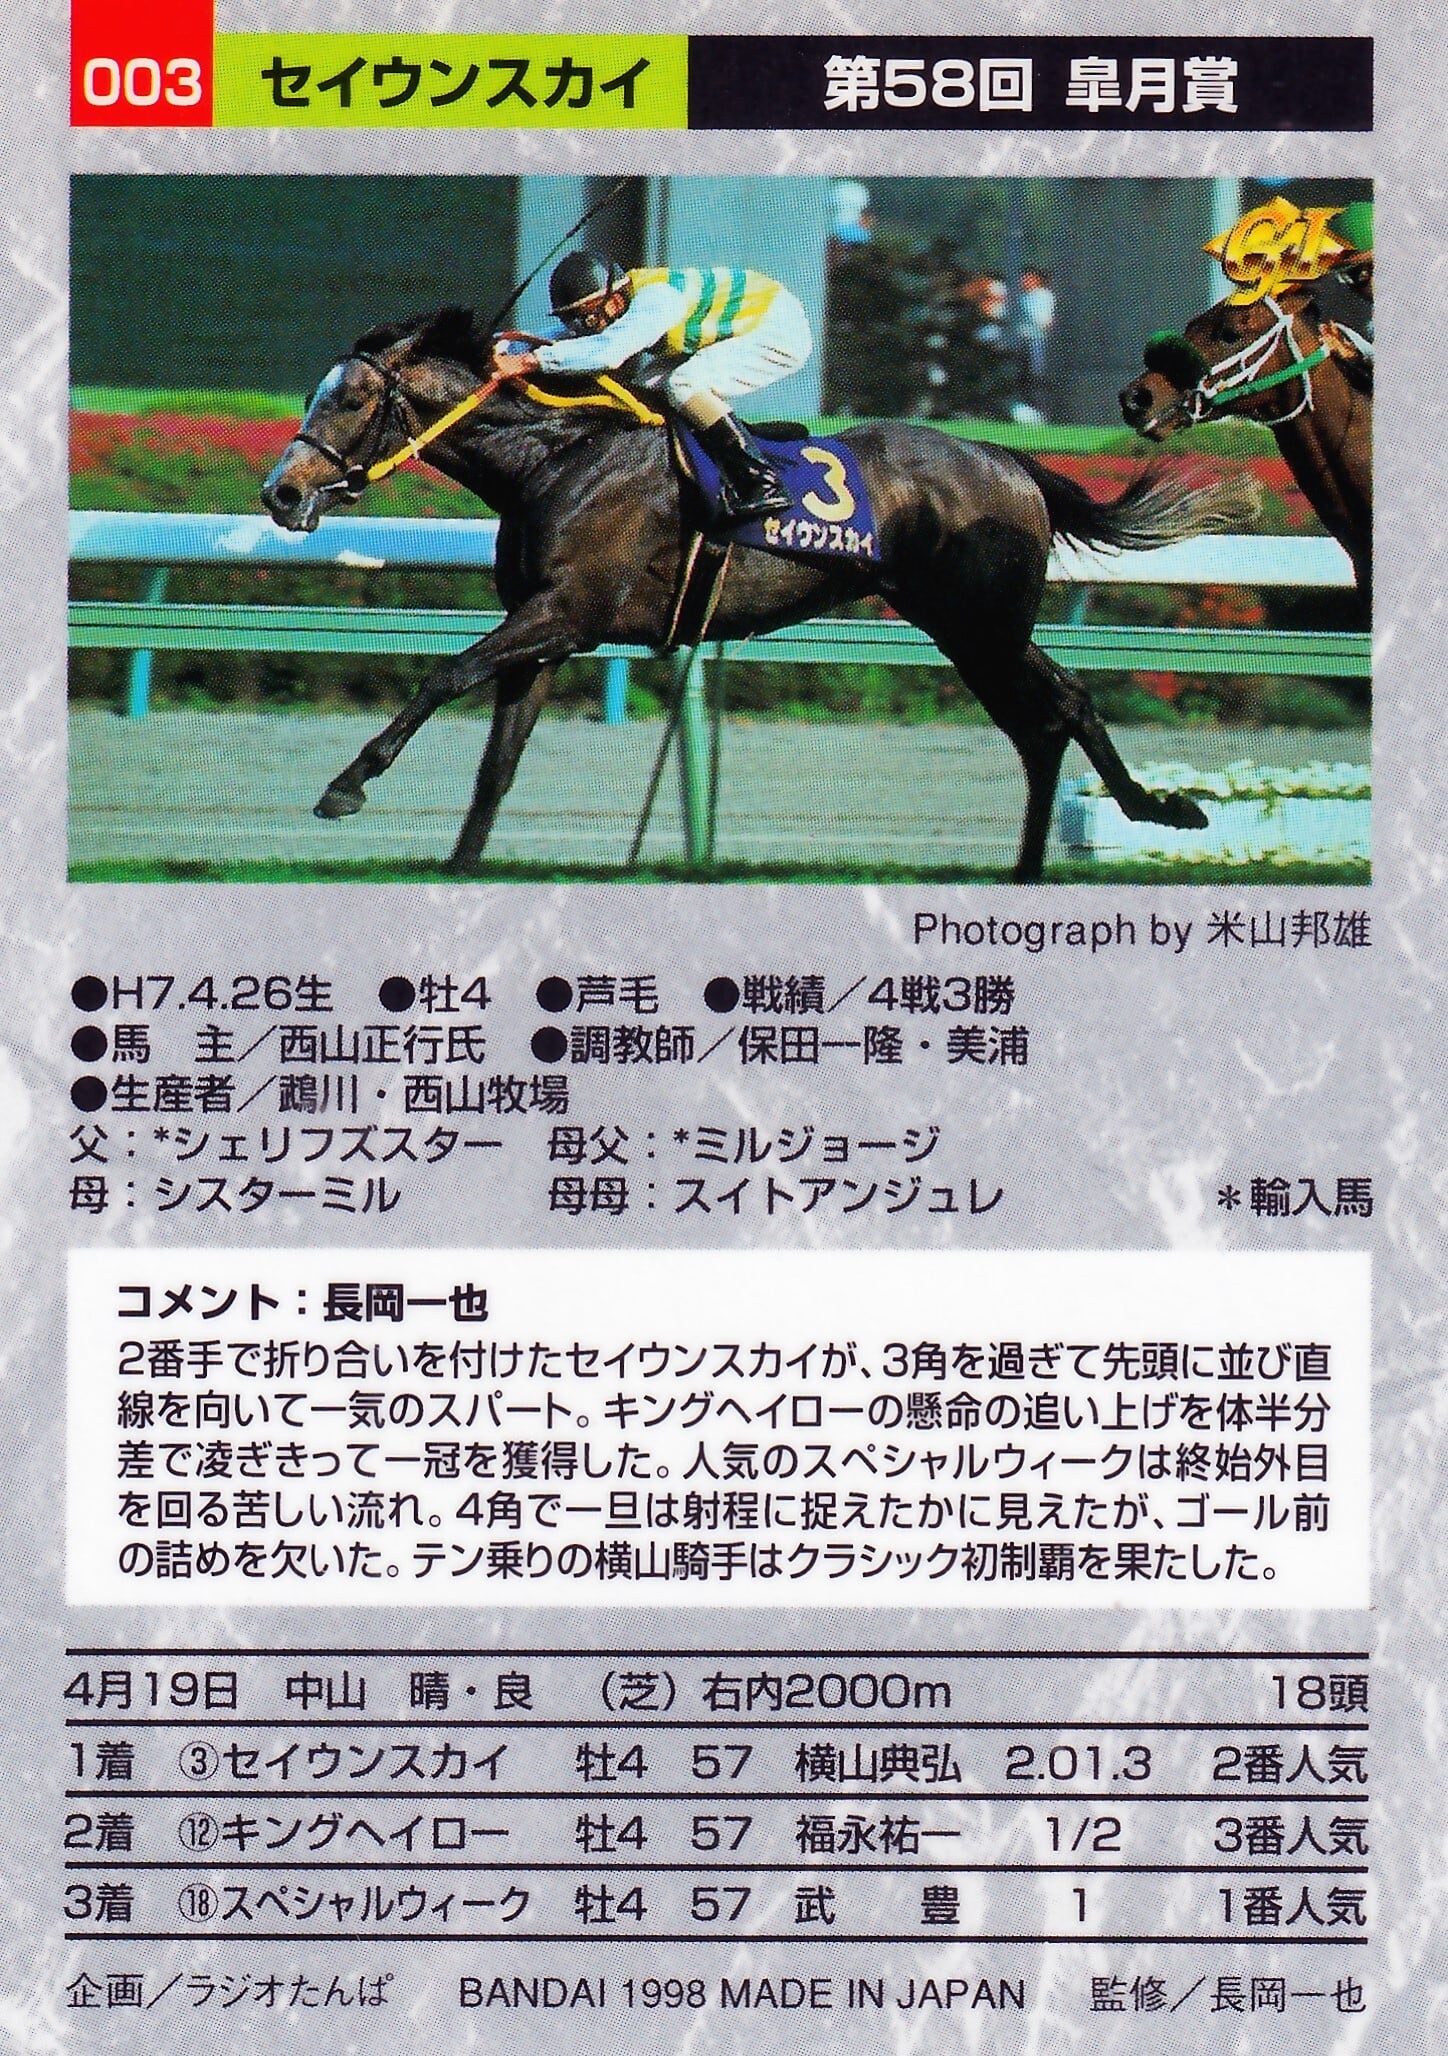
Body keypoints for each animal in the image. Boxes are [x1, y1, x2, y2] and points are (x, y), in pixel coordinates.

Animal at [260, 306, 1258, 879]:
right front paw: (461, 866)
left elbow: (441, 676)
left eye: (349, 402)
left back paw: (1118, 823)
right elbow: (495, 764)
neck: (555, 459)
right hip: (966, 626)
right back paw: (1084, 840)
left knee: (1052, 712)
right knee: (1053, 713)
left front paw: (345, 787)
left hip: (983, 623)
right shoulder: (548, 636)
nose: (280, 494)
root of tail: (1005, 461)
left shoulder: (562, 613)